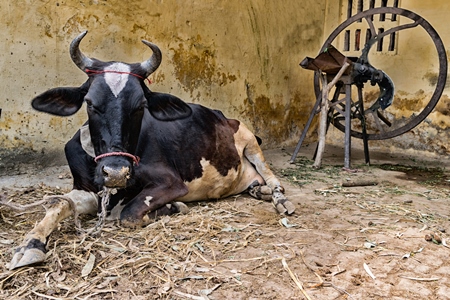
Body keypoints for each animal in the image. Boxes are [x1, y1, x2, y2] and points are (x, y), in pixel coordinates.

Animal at [8, 31, 296, 270]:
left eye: (140, 105)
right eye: (90, 102)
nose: (116, 172)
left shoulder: (170, 182)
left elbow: (128, 213)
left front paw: (173, 207)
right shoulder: (87, 188)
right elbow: (59, 203)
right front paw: (30, 244)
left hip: (251, 142)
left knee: (273, 179)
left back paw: (280, 200)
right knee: (257, 184)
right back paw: (259, 191)